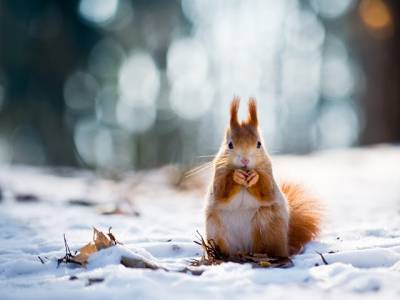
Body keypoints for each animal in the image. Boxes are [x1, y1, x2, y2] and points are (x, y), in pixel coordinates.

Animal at [205, 97, 320, 256]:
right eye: (230, 145)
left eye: (259, 144)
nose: (245, 160)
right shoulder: (218, 175)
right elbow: (221, 191)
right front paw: (236, 176)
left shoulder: (269, 176)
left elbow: (267, 191)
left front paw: (255, 177)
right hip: (216, 229)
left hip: (267, 225)